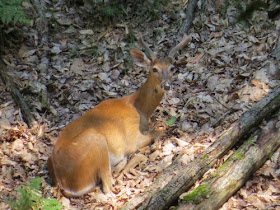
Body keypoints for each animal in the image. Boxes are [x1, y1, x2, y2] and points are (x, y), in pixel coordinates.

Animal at [48, 34, 191, 197]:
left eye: (171, 68)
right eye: (154, 69)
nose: (166, 85)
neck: (139, 108)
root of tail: (61, 181)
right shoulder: (133, 137)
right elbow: (160, 131)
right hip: (97, 141)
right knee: (108, 185)